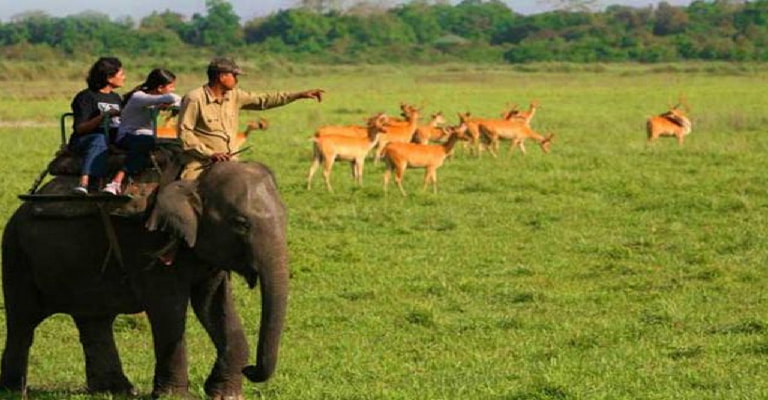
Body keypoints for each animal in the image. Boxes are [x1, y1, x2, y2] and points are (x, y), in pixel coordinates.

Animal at [0, 161, 288, 398]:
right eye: (241, 224)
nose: (250, 369)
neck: (195, 180)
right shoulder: (148, 244)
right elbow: (168, 310)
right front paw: (173, 396)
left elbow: (215, 307)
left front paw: (224, 394)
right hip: (16, 254)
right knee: (23, 322)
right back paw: (15, 390)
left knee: (94, 320)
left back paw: (116, 390)